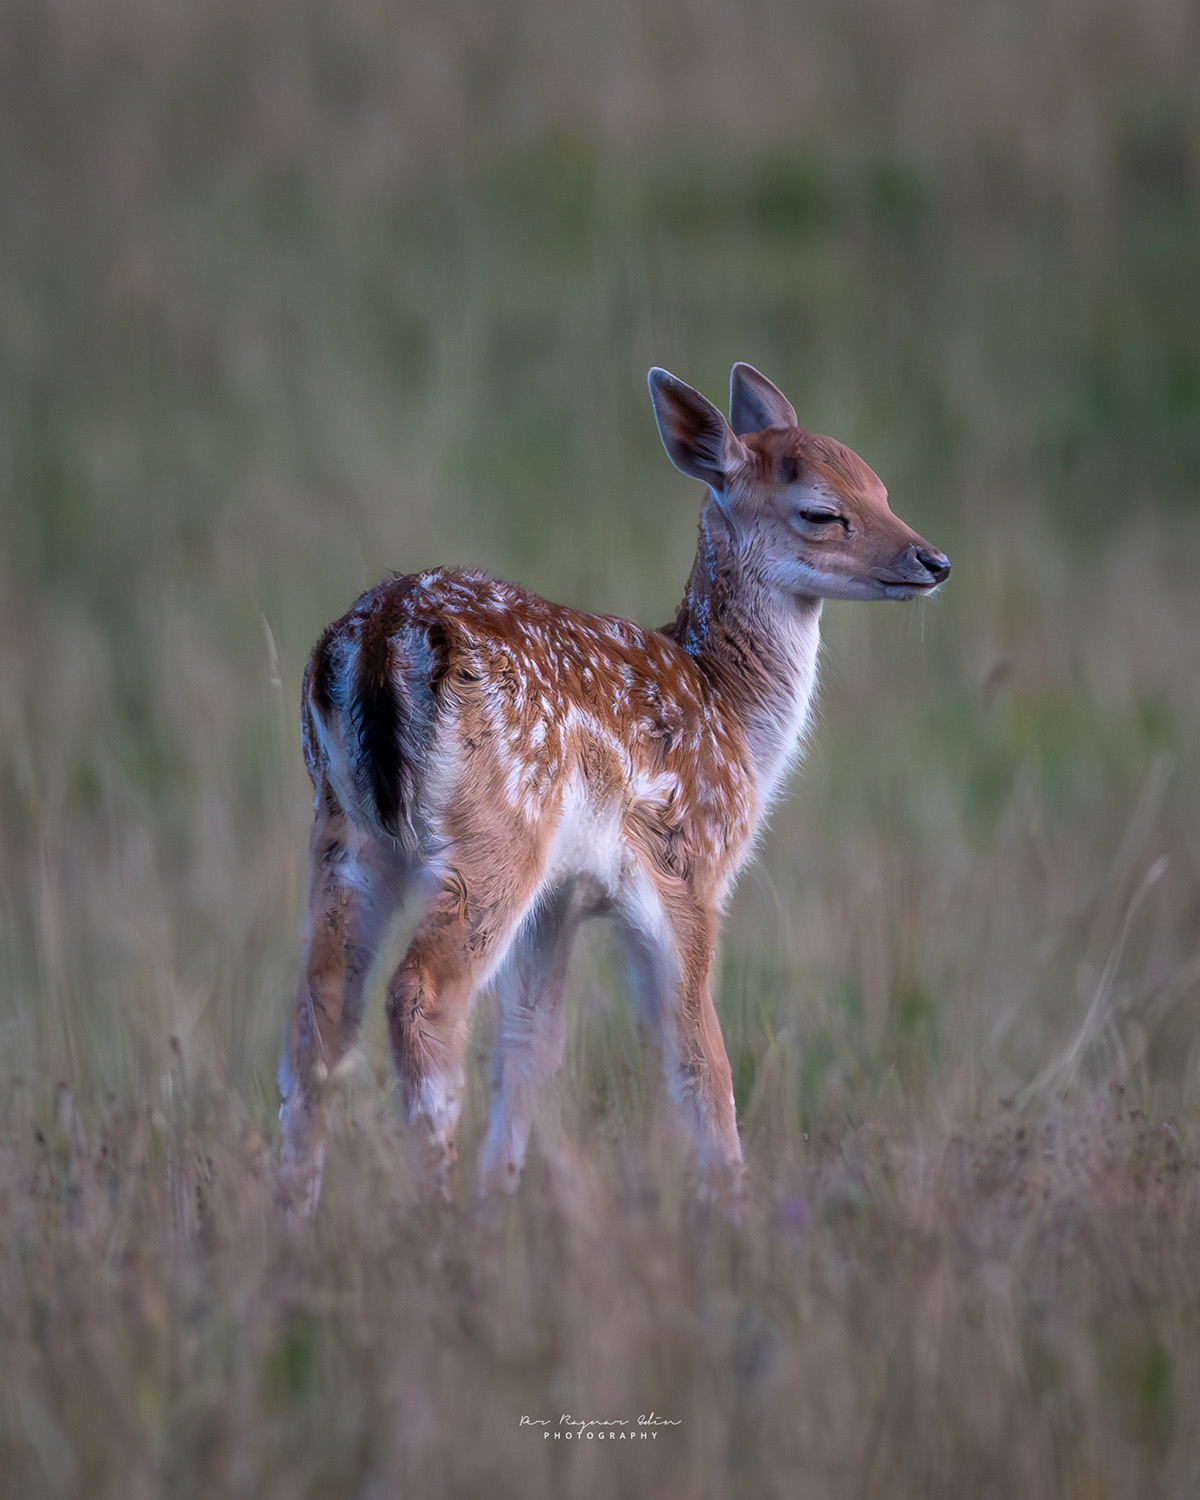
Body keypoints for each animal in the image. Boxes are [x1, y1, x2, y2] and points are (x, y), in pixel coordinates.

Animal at [277, 363, 950, 1214]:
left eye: (881, 487)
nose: (934, 560)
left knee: (320, 1007)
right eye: (824, 512)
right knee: (420, 995)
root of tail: (376, 637)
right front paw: (734, 1206)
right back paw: (430, 1206)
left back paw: (296, 1213)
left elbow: (531, 1045)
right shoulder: (689, 866)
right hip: (495, 834)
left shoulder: (562, 899)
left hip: (343, 828)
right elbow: (698, 1055)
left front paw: (498, 1204)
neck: (732, 716)